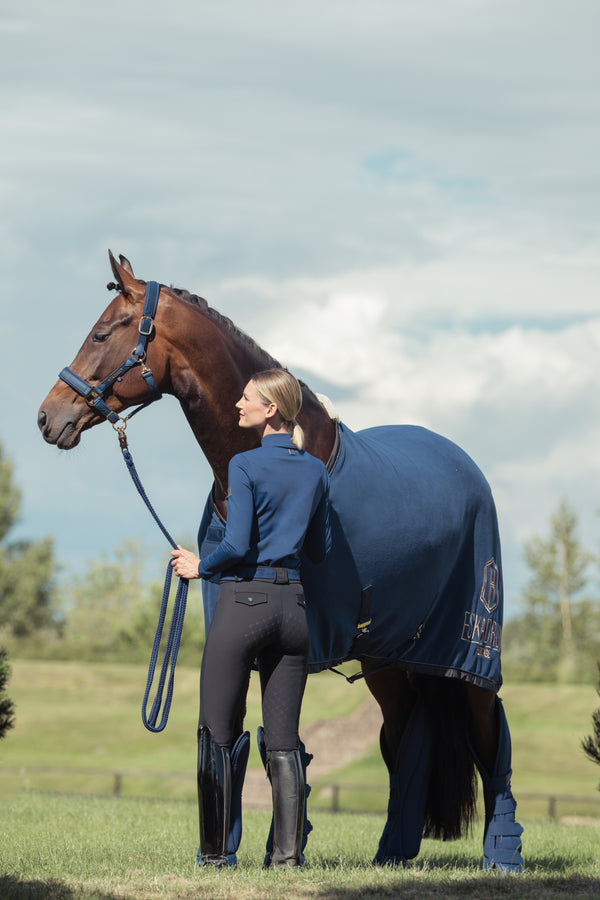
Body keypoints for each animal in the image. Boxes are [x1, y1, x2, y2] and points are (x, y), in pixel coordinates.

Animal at [37, 250, 524, 868]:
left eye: (101, 333)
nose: (47, 418)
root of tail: (470, 471)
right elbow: (247, 738)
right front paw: (237, 850)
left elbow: (281, 738)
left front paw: (277, 850)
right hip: (389, 659)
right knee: (402, 739)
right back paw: (391, 851)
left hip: (471, 652)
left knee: (491, 739)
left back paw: (502, 853)